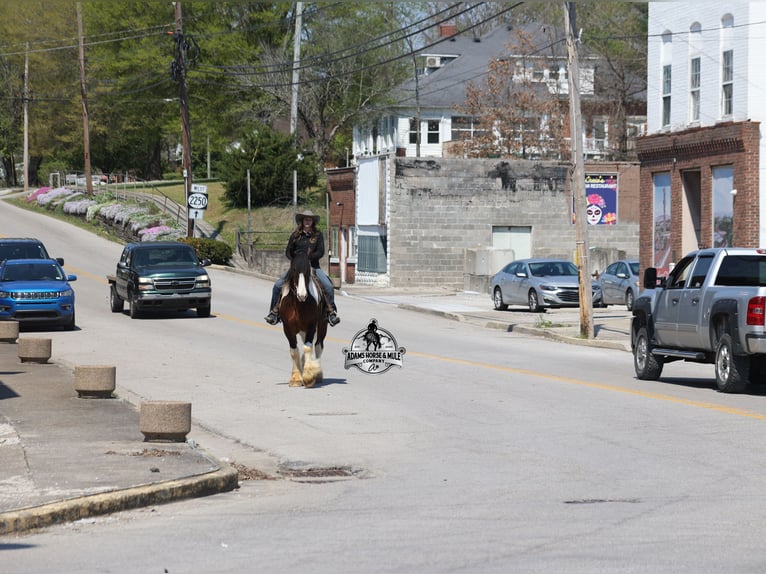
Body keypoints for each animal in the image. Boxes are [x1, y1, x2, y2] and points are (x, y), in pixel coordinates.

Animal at [278, 250, 328, 387]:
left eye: (307, 270)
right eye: (294, 269)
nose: (302, 295)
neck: (298, 304)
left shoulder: (311, 326)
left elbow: (307, 347)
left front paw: (309, 376)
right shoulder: (288, 328)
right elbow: (294, 351)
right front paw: (296, 378)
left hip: (322, 326)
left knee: (318, 346)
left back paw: (318, 374)